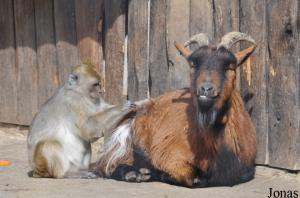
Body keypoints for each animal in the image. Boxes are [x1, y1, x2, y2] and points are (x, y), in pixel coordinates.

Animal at [97, 32, 256, 187]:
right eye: (193, 64)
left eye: (230, 66)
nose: (205, 89)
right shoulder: (172, 157)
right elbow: (188, 176)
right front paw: (163, 174)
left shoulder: (246, 169)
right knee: (111, 165)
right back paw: (134, 173)